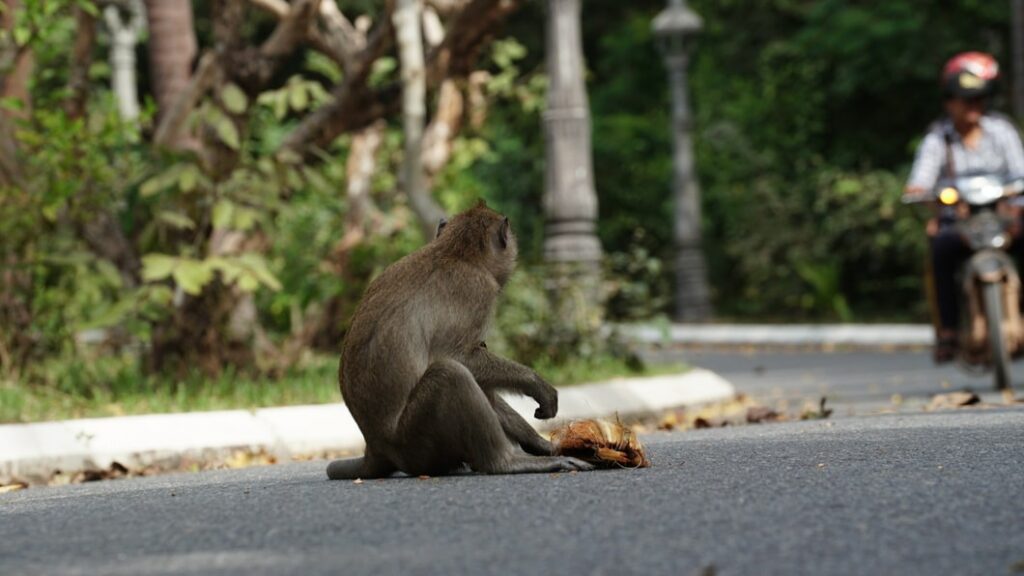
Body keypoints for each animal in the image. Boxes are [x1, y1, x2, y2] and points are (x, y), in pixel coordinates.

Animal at [323, 199, 589, 477]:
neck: (456, 252)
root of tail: (376, 447)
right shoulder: (478, 291)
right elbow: (456, 356)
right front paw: (536, 384)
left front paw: (540, 442)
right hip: (416, 441)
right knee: (450, 374)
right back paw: (503, 463)